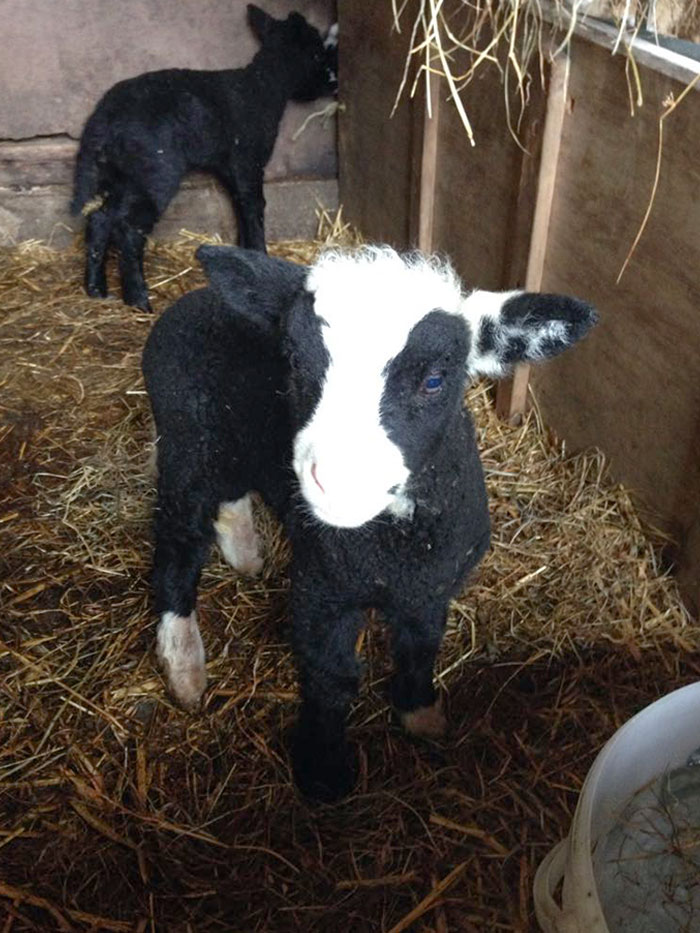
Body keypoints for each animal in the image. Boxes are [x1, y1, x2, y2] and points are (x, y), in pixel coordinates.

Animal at [71, 5, 338, 312]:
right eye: (316, 53)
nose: (330, 82)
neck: (263, 87)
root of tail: (104, 117)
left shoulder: (229, 167)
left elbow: (240, 207)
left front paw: (244, 253)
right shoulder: (248, 158)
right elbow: (254, 208)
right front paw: (260, 253)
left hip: (125, 175)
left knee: (100, 219)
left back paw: (96, 289)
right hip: (155, 172)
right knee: (128, 230)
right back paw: (138, 299)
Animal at [142, 244, 598, 802]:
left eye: (434, 380)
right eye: (293, 361)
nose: (337, 482)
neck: (392, 548)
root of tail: (192, 297)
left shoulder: (431, 585)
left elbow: (422, 645)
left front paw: (421, 713)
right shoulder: (321, 588)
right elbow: (331, 673)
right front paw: (324, 769)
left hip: (223, 445)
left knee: (229, 494)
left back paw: (244, 551)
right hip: (185, 445)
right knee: (178, 544)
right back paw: (184, 664)